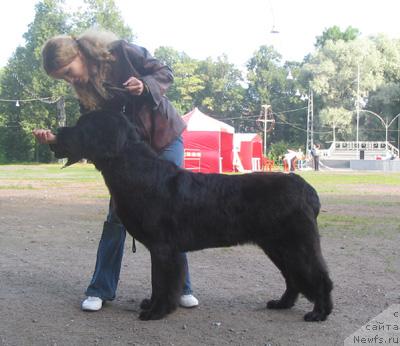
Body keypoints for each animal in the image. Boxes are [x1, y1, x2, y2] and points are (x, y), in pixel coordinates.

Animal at [53, 110, 334, 322]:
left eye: (82, 126)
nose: (55, 133)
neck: (138, 172)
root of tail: (307, 189)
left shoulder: (163, 248)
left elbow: (162, 281)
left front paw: (156, 311)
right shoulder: (165, 249)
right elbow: (159, 282)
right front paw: (152, 305)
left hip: (296, 244)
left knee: (317, 276)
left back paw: (319, 312)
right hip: (278, 246)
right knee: (293, 278)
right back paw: (282, 303)